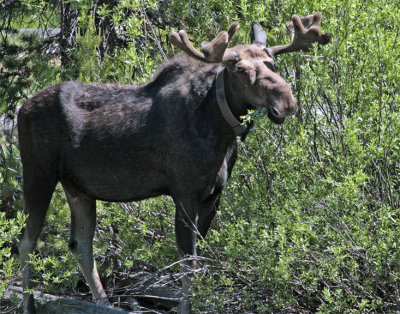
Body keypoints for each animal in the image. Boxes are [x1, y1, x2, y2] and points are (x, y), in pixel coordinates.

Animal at [18, 11, 332, 312]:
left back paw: (104, 304)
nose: (286, 101)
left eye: (272, 63)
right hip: (38, 173)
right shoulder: (185, 192)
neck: (220, 129)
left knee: (80, 243)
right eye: (240, 69)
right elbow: (187, 263)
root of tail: (22, 108)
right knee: (27, 241)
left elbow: (200, 261)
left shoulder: (213, 196)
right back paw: (29, 304)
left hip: (78, 188)